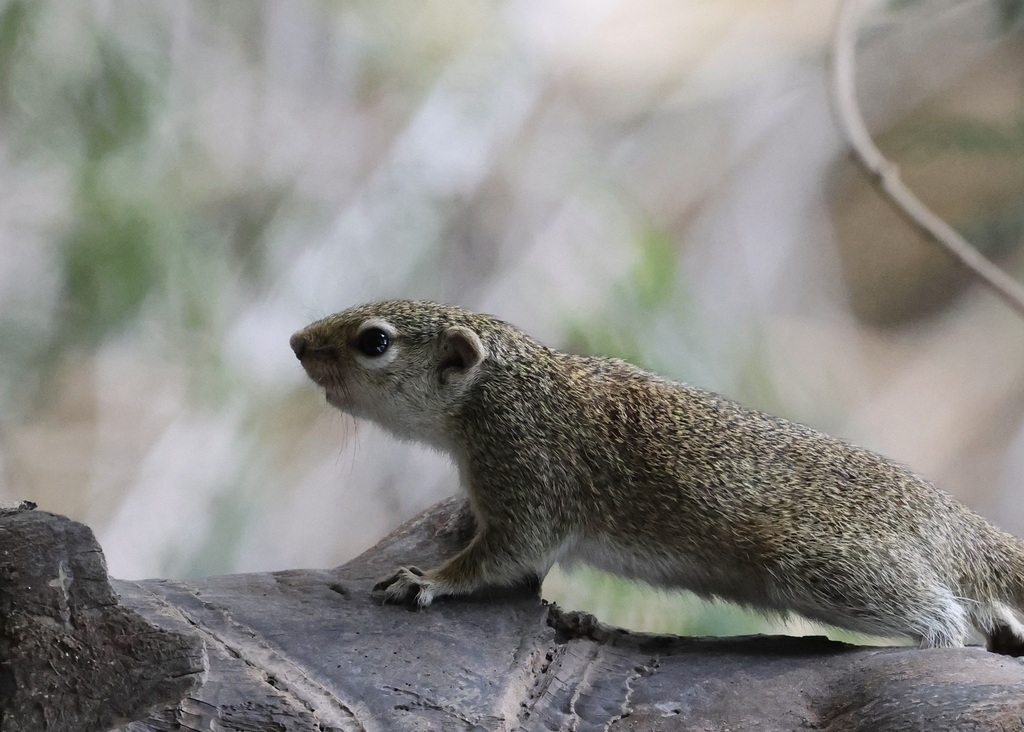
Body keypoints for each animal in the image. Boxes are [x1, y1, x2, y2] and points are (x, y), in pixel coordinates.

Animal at [290, 299, 1024, 654]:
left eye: (374, 341)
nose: (296, 342)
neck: (508, 389)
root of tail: (950, 520)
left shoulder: (533, 473)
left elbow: (504, 556)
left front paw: (430, 580)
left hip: (829, 565)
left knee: (945, 615)